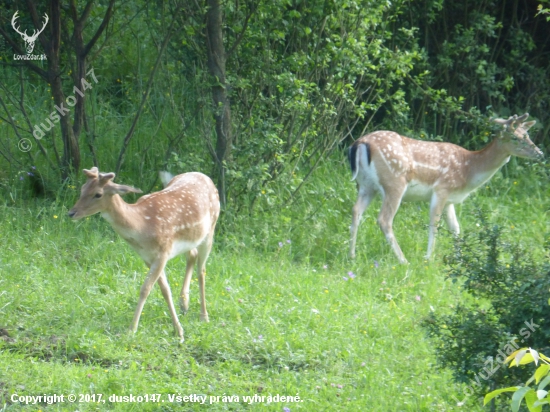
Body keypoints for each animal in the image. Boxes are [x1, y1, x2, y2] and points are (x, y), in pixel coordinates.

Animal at [69, 167, 222, 342]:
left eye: (98, 194)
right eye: (82, 189)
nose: (71, 213)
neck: (142, 226)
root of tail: (206, 177)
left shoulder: (163, 253)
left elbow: (145, 289)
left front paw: (132, 329)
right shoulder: (147, 257)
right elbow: (165, 290)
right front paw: (178, 329)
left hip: (211, 229)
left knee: (201, 270)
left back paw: (204, 316)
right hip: (190, 239)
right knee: (192, 255)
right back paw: (184, 303)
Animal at [350, 112, 544, 264]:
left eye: (527, 135)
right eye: (515, 137)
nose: (540, 154)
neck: (468, 171)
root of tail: (360, 143)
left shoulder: (450, 199)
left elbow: (455, 227)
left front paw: (460, 260)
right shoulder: (442, 189)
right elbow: (434, 224)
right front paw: (429, 258)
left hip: (366, 185)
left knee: (356, 210)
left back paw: (351, 255)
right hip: (394, 182)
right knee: (384, 219)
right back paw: (403, 260)